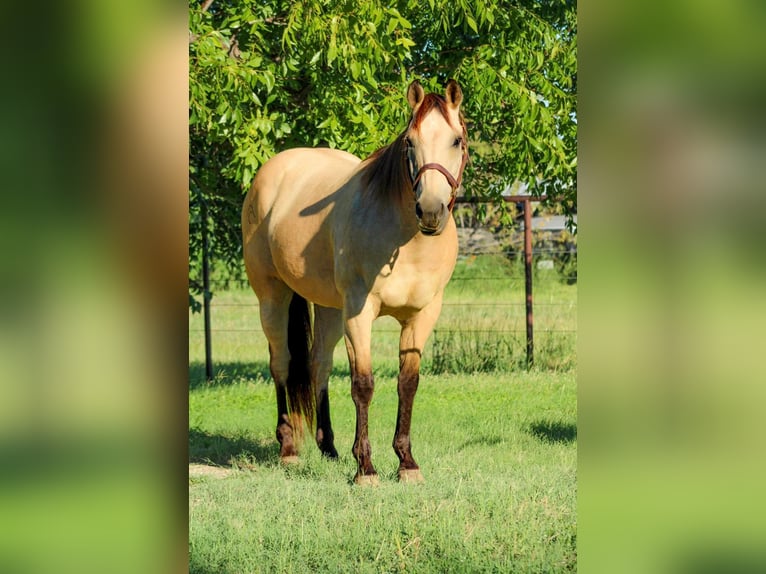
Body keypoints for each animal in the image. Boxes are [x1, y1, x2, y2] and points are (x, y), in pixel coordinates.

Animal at [243, 80, 468, 486]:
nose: (430, 211)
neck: (404, 238)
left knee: (318, 365)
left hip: (329, 308)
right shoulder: (359, 315)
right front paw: (366, 468)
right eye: (409, 142)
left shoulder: (423, 315)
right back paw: (289, 449)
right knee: (281, 363)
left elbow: (407, 383)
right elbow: (363, 384)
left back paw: (328, 448)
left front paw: (407, 462)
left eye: (456, 140)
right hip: (272, 296)